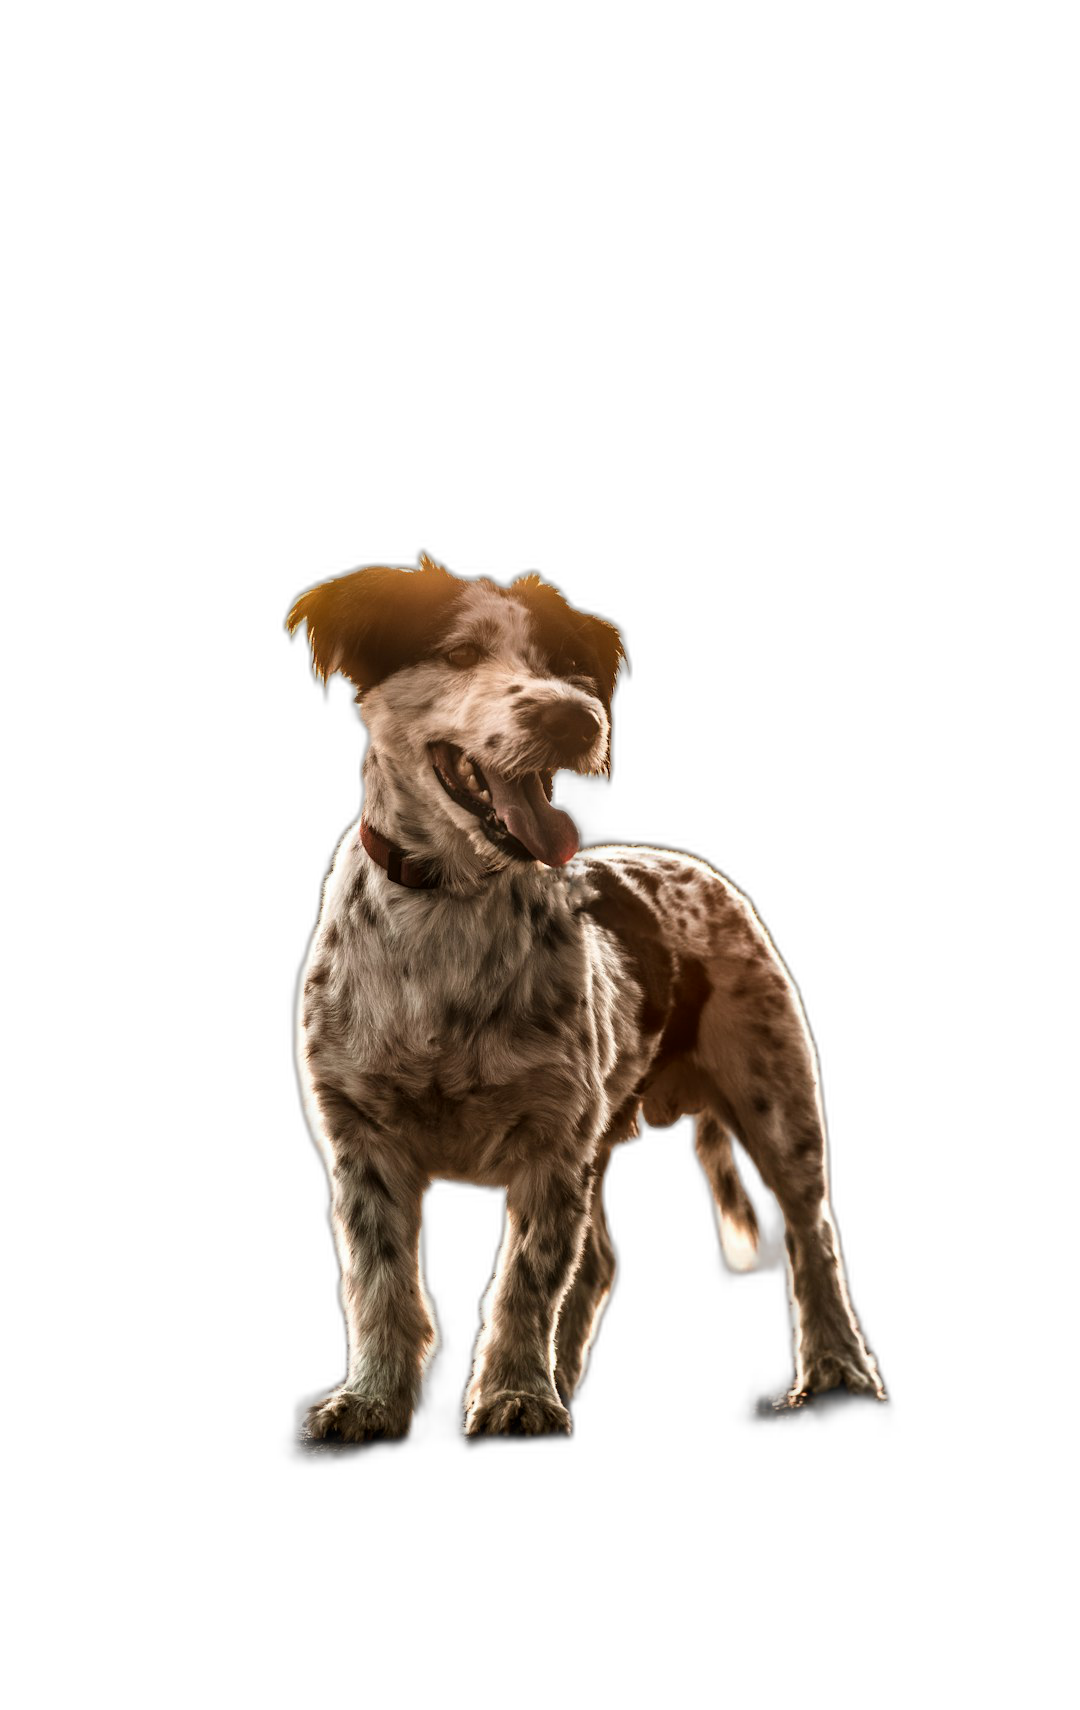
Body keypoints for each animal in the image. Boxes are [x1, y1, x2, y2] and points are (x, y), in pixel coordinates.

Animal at [287, 554, 888, 1436]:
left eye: (567, 667)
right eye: (460, 652)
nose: (574, 718)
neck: (451, 902)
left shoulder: (552, 1145)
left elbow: (525, 1280)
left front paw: (514, 1393)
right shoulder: (363, 1139)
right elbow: (381, 1285)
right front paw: (372, 1401)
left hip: (777, 1101)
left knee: (814, 1236)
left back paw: (838, 1365)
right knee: (600, 1259)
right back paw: (566, 1370)